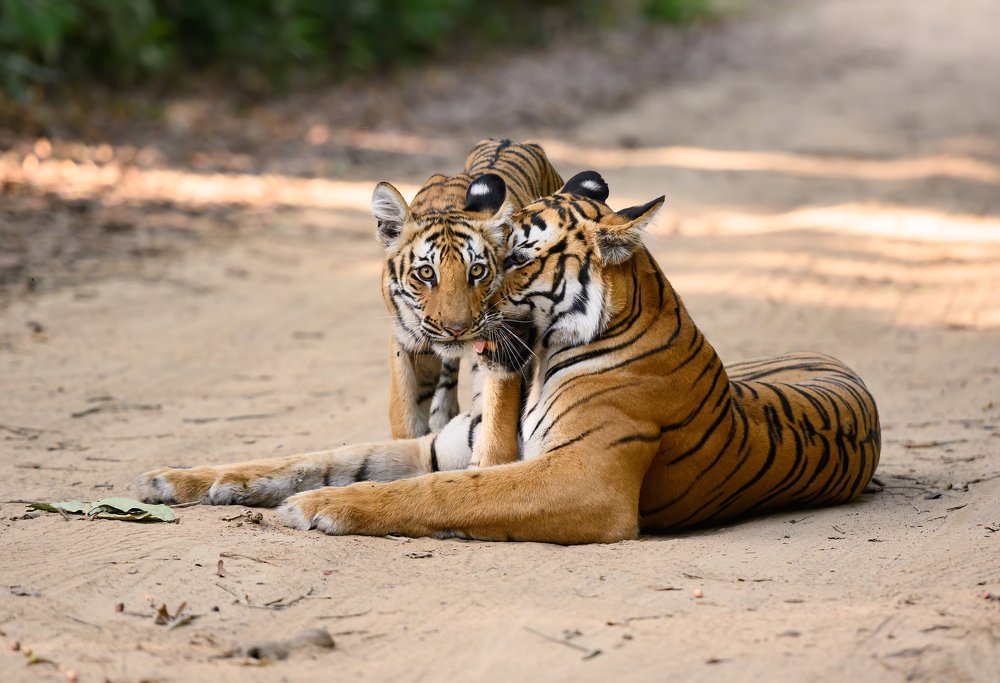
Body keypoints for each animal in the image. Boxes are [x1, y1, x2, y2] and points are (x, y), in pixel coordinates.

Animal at [374, 138, 563, 467]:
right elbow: (405, 413)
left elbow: (495, 427)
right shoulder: (406, 341)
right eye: (426, 273)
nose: (456, 329)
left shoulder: (501, 344)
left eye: (477, 270)